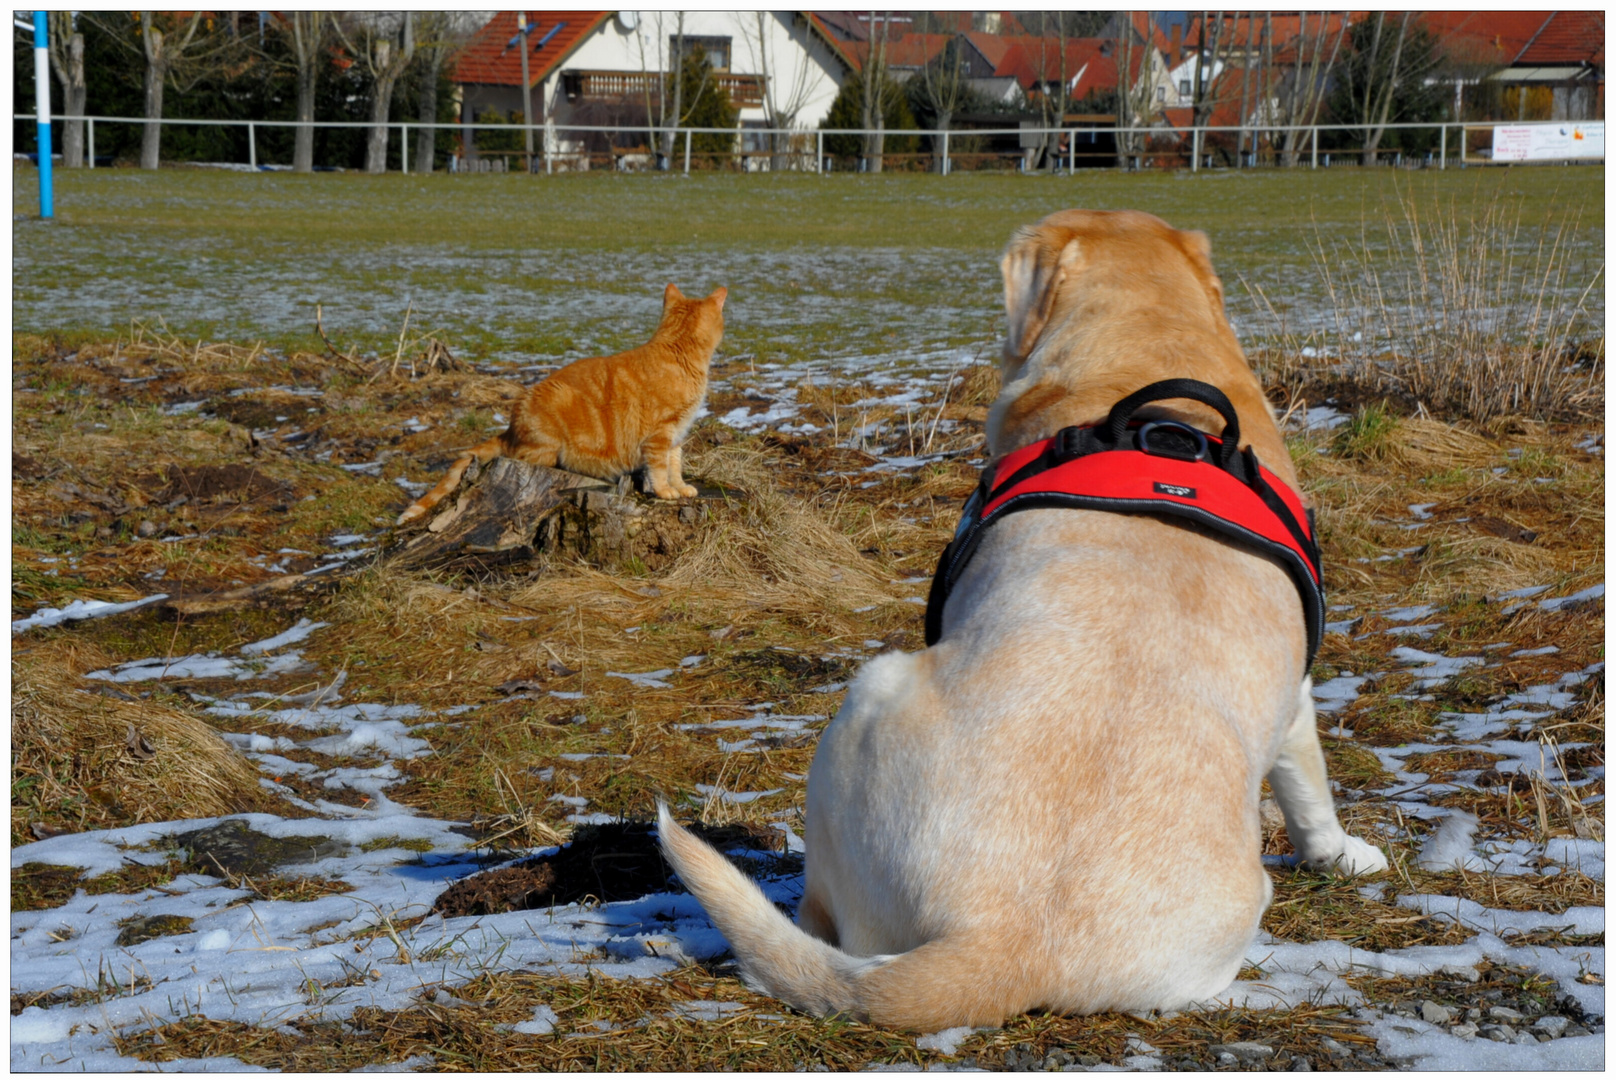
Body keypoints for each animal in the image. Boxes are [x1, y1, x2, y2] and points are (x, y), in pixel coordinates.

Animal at [400, 284, 730, 523]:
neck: (678, 353)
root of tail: (511, 426)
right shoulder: (660, 436)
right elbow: (659, 469)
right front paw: (664, 492)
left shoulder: (677, 434)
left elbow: (675, 466)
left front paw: (680, 487)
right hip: (549, 432)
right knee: (522, 456)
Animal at [656, 208, 1389, 1028]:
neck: (1151, 350)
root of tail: (1005, 938)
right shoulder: (1295, 690)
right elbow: (1308, 778)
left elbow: (1307, 784)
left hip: (870, 690)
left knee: (818, 922)